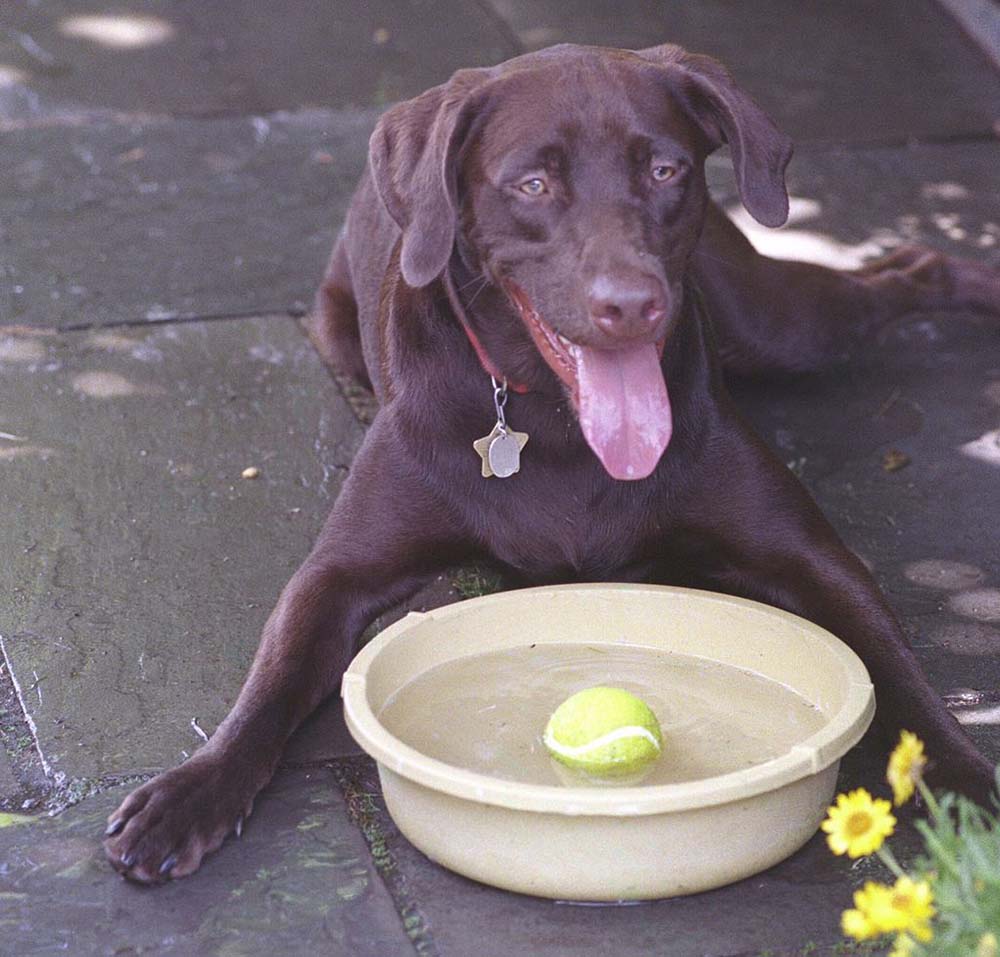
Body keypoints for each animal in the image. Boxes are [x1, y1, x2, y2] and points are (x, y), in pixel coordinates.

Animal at [103, 43, 1000, 880]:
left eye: (665, 169)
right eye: (532, 184)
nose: (632, 305)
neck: (551, 420)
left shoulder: (810, 556)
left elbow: (897, 674)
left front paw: (969, 786)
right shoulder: (339, 573)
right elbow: (272, 681)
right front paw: (190, 791)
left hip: (778, 325)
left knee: (907, 270)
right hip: (334, 327)